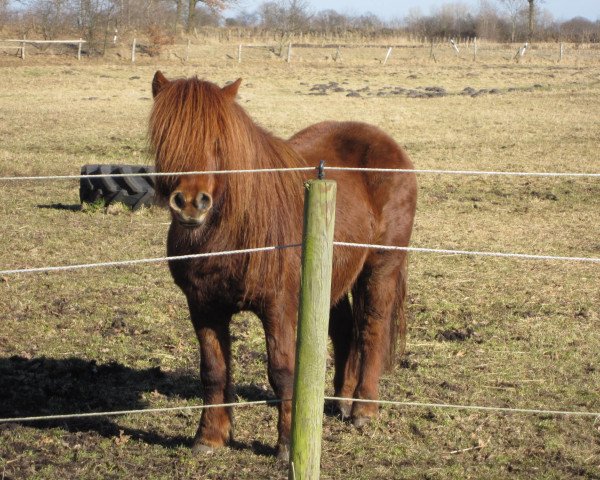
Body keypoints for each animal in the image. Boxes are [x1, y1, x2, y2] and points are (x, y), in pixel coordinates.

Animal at [149, 72, 418, 462]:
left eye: (218, 141)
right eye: (166, 137)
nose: (190, 204)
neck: (233, 231)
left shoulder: (277, 307)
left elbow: (282, 372)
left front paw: (289, 444)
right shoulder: (203, 307)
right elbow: (213, 371)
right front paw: (209, 437)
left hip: (381, 268)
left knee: (372, 329)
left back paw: (364, 409)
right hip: (331, 275)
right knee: (344, 331)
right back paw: (339, 401)